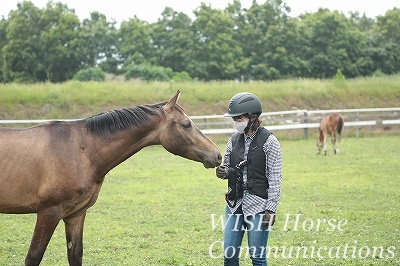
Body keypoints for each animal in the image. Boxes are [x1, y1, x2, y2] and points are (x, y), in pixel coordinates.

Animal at [0, 90, 222, 264]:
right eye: (186, 124)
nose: (217, 155)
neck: (81, 150)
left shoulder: (75, 215)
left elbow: (75, 255)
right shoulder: (49, 213)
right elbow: (33, 257)